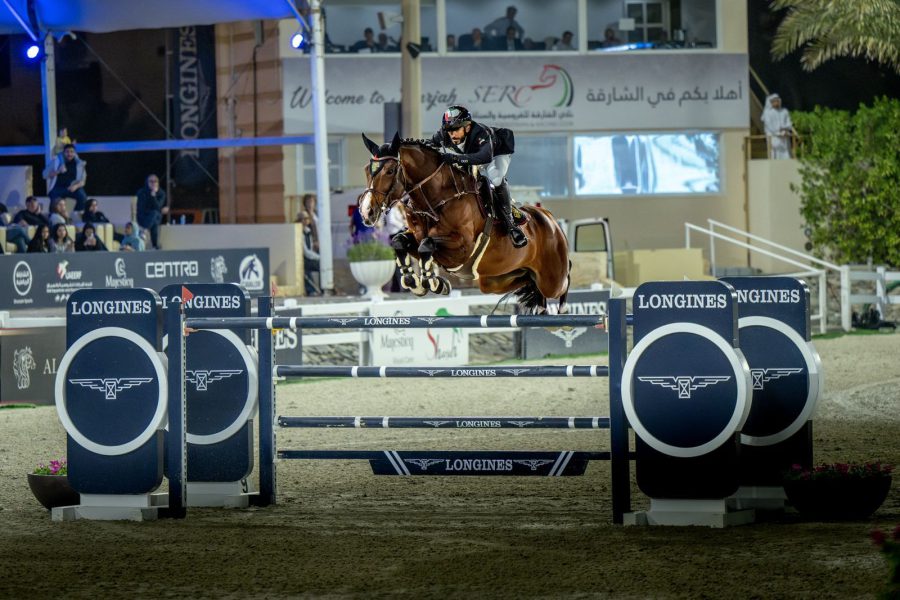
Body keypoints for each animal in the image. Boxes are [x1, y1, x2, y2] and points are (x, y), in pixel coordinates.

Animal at [358, 133, 570, 313]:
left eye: (390, 171)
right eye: (367, 170)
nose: (367, 211)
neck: (436, 198)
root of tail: (551, 219)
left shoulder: (462, 248)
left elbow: (427, 245)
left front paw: (433, 282)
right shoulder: (417, 237)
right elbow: (400, 241)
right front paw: (416, 282)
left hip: (552, 280)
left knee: (563, 282)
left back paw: (563, 308)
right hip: (496, 280)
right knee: (528, 282)